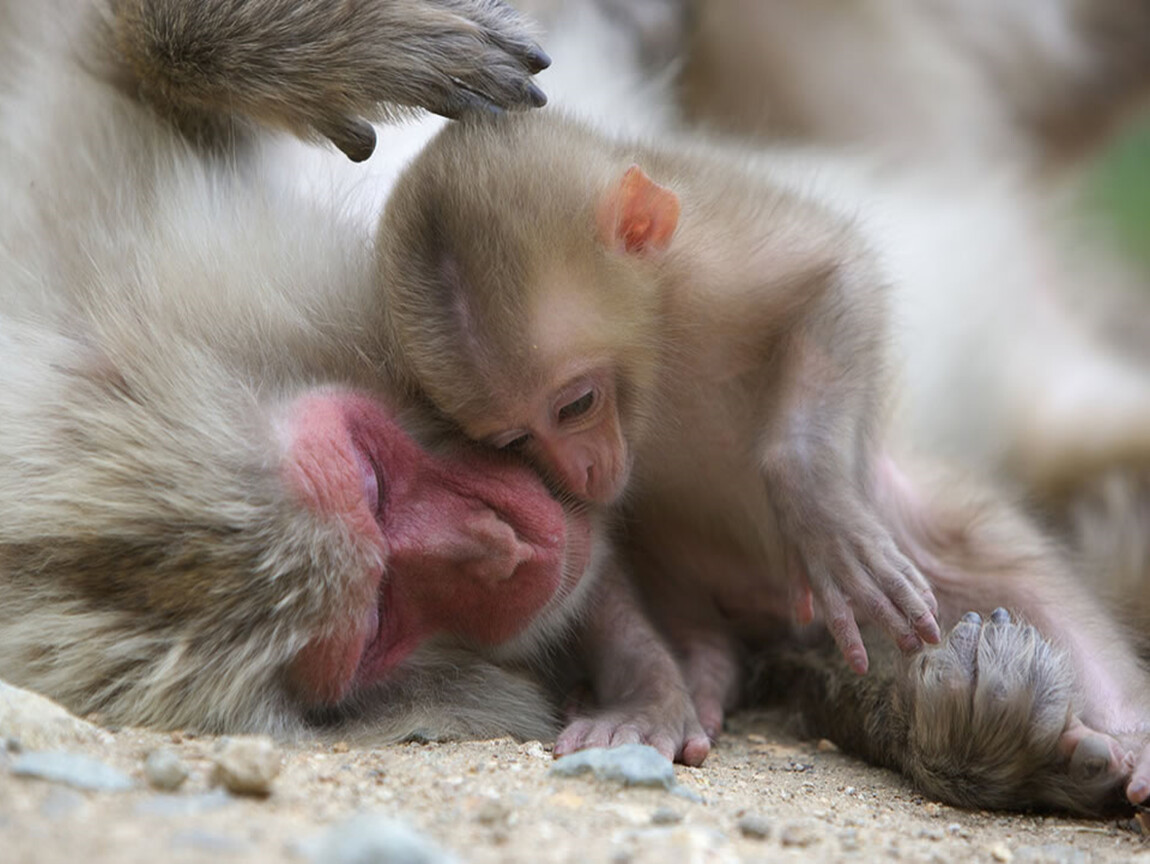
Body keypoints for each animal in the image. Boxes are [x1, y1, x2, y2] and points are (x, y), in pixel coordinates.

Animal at [381, 111, 938, 736]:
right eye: (516, 441)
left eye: (576, 405)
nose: (579, 471)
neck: (660, 344)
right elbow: (578, 550)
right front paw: (648, 693)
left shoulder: (711, 261)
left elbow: (837, 274)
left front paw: (817, 508)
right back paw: (707, 660)